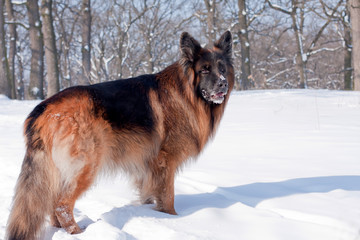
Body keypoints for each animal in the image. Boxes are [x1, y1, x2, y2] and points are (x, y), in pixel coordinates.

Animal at [7, 31, 235, 239]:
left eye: (222, 69)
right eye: (204, 70)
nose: (223, 83)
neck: (186, 92)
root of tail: (43, 109)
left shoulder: (148, 168)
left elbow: (148, 196)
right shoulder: (165, 163)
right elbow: (168, 198)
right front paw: (172, 220)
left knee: (54, 206)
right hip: (86, 167)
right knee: (61, 206)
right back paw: (78, 233)